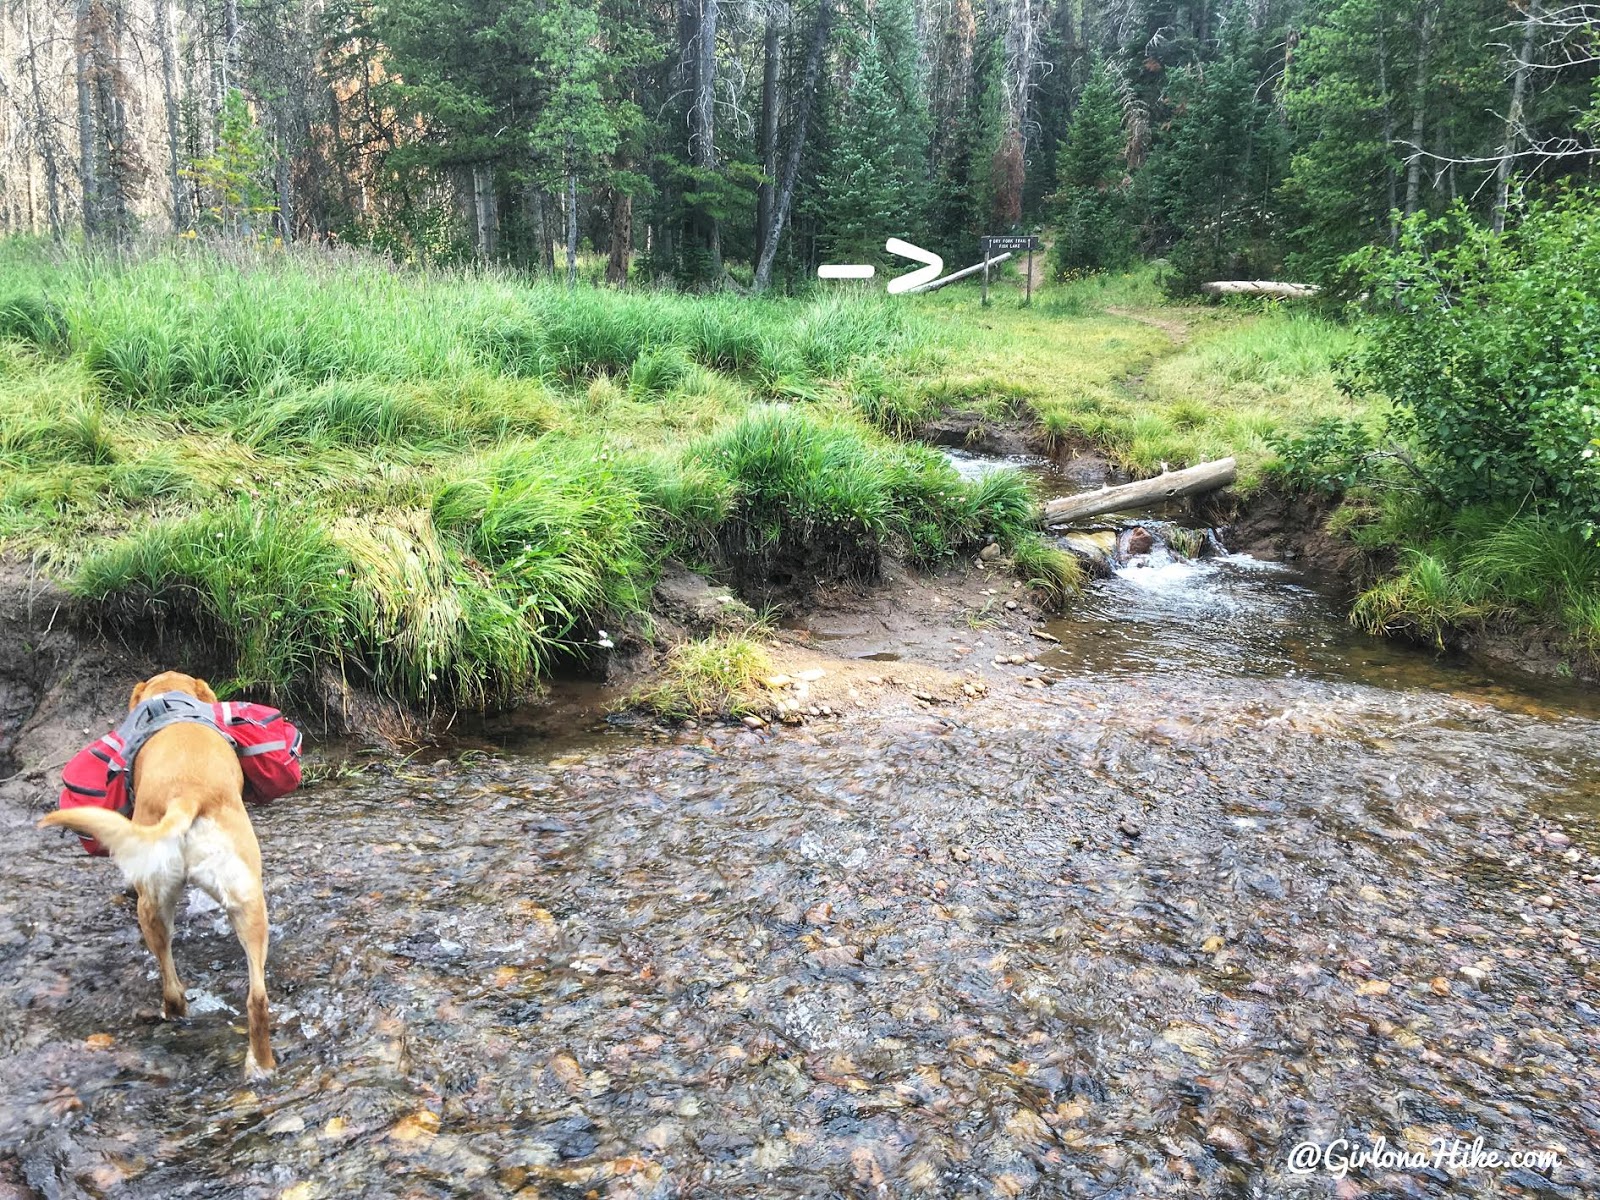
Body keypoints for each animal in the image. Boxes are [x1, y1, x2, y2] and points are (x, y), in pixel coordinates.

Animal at [39, 672, 275, 1075]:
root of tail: (187, 796)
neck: (169, 699)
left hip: (151, 905)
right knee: (256, 999)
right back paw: (262, 1064)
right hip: (249, 903)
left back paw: (170, 1014)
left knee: (172, 987)